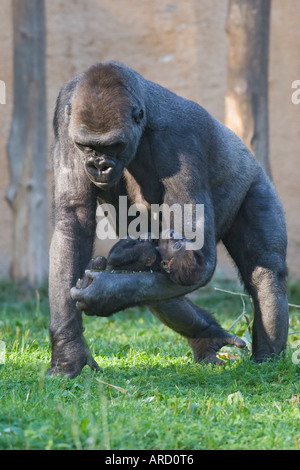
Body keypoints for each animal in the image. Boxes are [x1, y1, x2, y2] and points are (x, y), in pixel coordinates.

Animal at [48, 61, 288, 378]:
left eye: (113, 145)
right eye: (87, 146)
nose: (99, 166)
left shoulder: (182, 138)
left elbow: (198, 258)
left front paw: (103, 293)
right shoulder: (65, 118)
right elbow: (73, 221)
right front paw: (68, 350)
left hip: (254, 179)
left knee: (265, 271)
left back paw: (268, 359)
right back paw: (207, 335)